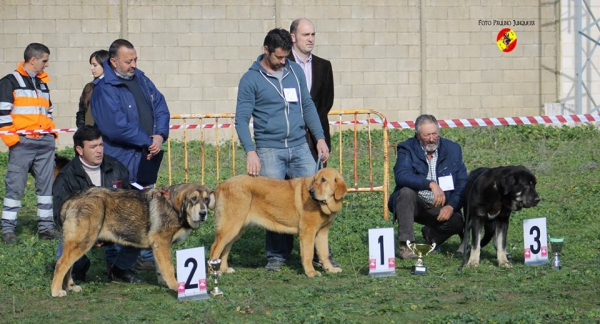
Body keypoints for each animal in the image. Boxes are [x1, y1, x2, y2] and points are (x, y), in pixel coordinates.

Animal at [51, 184, 213, 298]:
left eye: (206, 200)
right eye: (193, 199)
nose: (203, 213)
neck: (173, 206)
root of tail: (73, 198)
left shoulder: (158, 246)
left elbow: (160, 268)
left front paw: (164, 283)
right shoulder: (162, 243)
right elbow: (168, 268)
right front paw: (176, 287)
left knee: (68, 265)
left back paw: (71, 286)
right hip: (83, 241)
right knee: (61, 264)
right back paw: (56, 291)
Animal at [211, 167, 350, 276]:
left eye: (323, 180)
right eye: (315, 180)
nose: (311, 192)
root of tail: (221, 185)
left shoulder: (322, 233)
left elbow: (324, 253)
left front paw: (330, 269)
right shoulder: (308, 232)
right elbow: (308, 254)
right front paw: (311, 272)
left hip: (237, 229)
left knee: (225, 248)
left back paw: (224, 269)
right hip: (230, 227)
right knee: (215, 247)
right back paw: (214, 271)